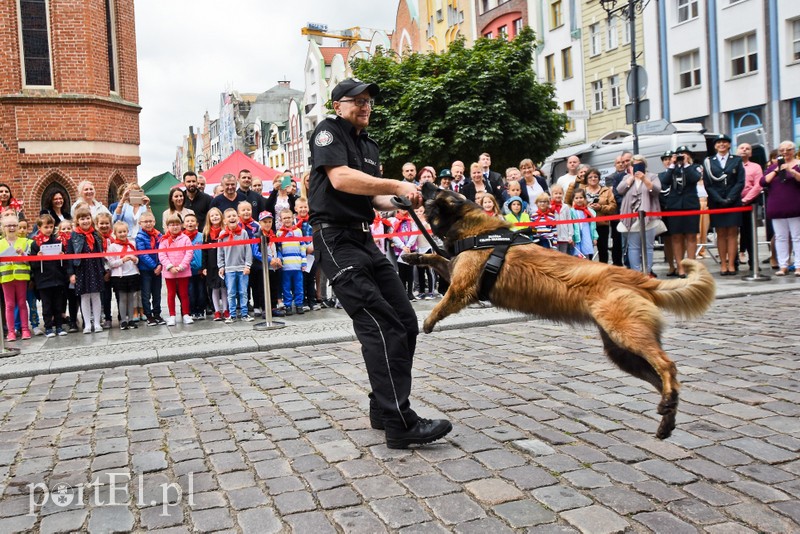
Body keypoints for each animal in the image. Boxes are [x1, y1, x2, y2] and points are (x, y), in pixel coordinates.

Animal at [410, 182, 716, 442]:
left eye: (435, 190)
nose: (421, 183)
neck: (475, 230)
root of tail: (638, 278)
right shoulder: (453, 269)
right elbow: (436, 258)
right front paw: (415, 256)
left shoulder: (463, 286)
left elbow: (445, 300)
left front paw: (428, 320)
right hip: (622, 353)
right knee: (662, 377)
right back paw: (667, 415)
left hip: (626, 335)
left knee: (668, 365)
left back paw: (668, 402)